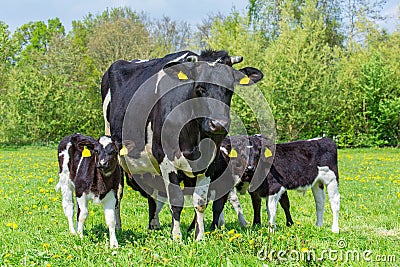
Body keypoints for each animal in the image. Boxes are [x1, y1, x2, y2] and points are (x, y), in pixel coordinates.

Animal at [101, 49, 262, 241]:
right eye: (200, 88)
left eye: (230, 88)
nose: (218, 125)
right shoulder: (166, 160)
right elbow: (176, 201)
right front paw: (177, 237)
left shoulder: (210, 162)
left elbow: (200, 202)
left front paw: (199, 236)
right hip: (116, 156)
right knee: (118, 193)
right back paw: (118, 227)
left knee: (152, 195)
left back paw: (154, 225)